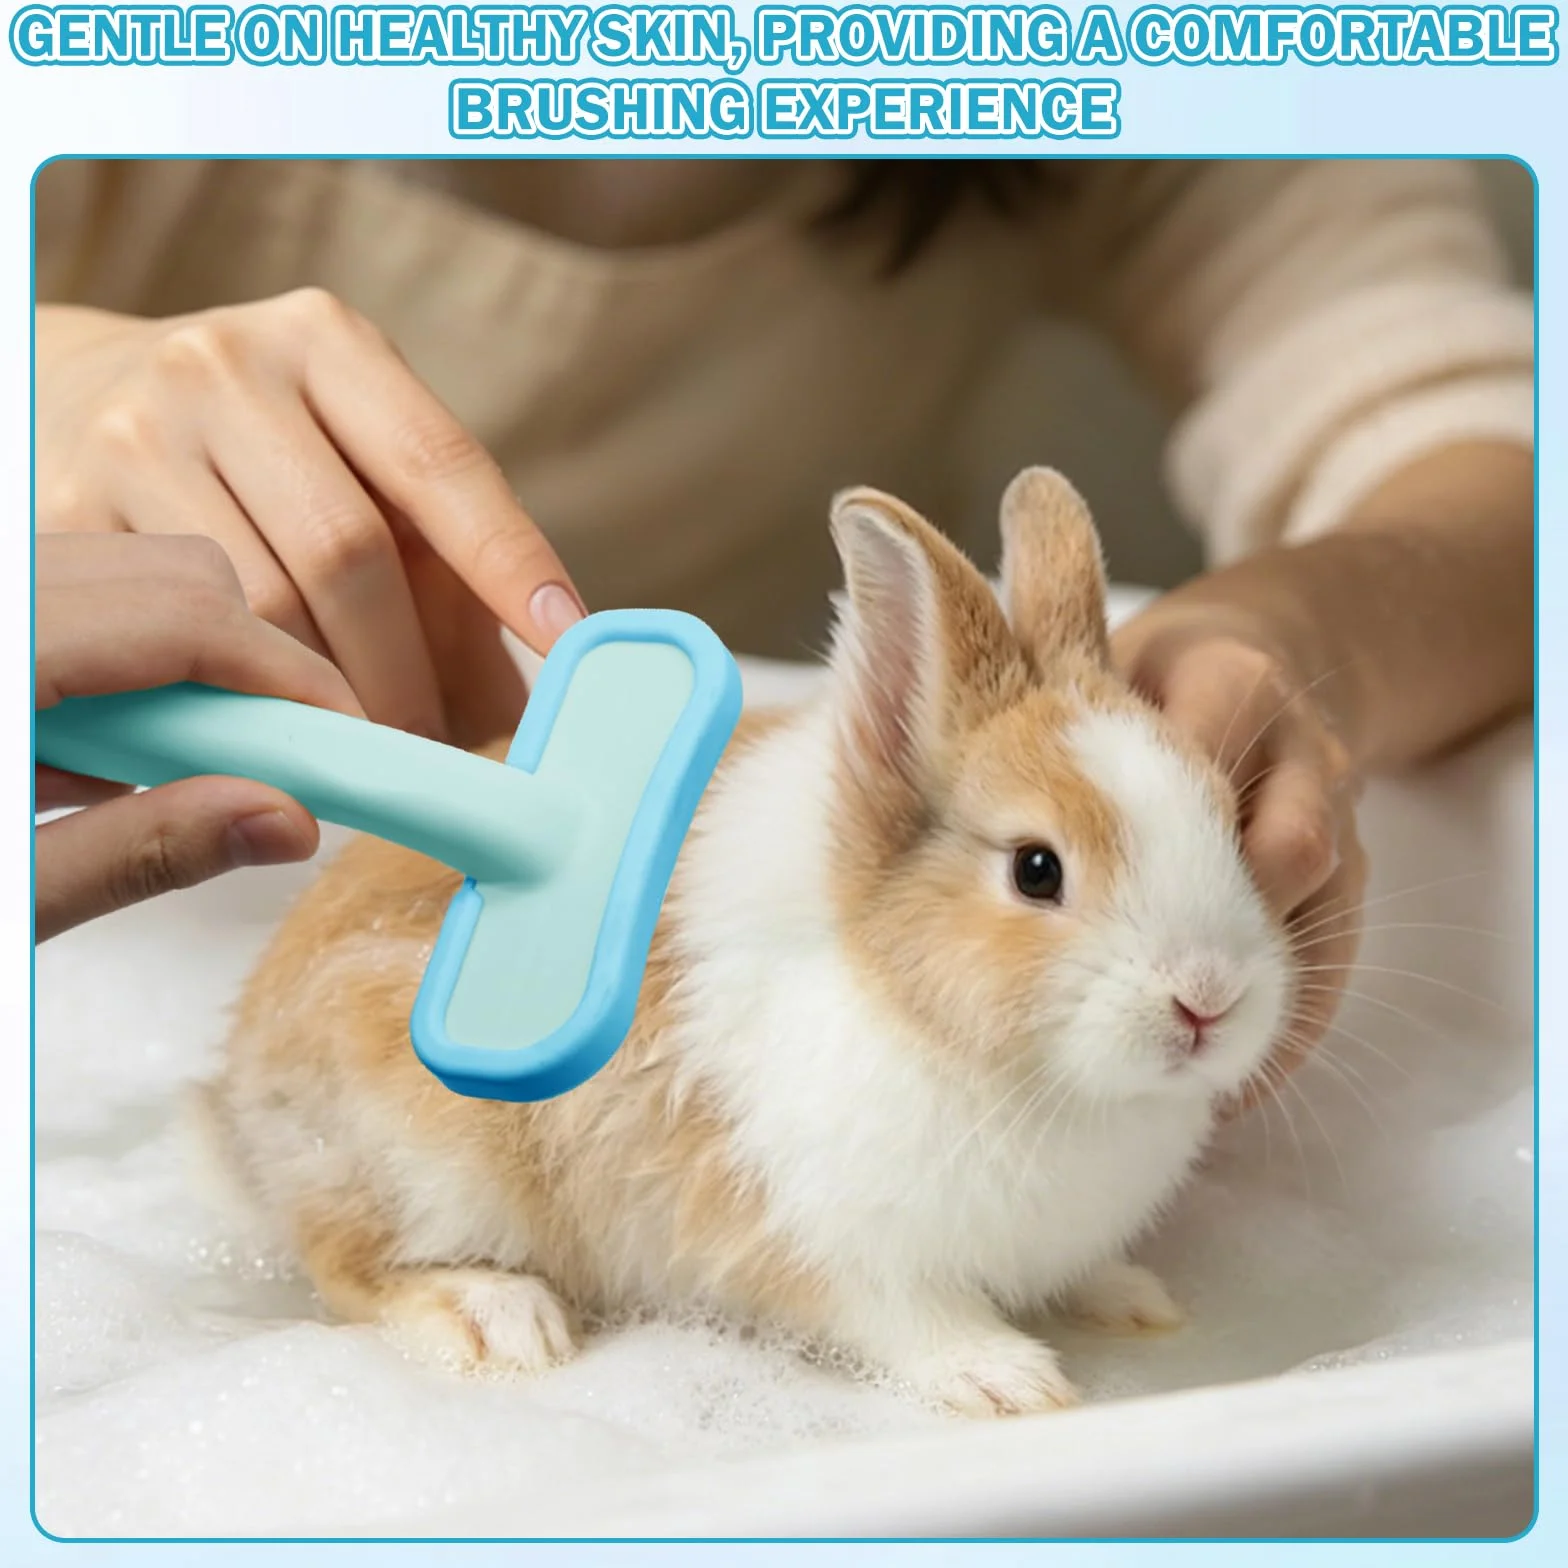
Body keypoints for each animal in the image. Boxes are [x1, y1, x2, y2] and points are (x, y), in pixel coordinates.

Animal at [190, 467, 1292, 1418]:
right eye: (1035, 870)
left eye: (1226, 820)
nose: (1208, 1000)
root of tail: (235, 1103)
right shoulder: (828, 1239)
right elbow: (909, 1318)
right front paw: (1009, 1380)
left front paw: (1131, 1298)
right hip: (418, 1150)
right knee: (349, 1262)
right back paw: (497, 1317)